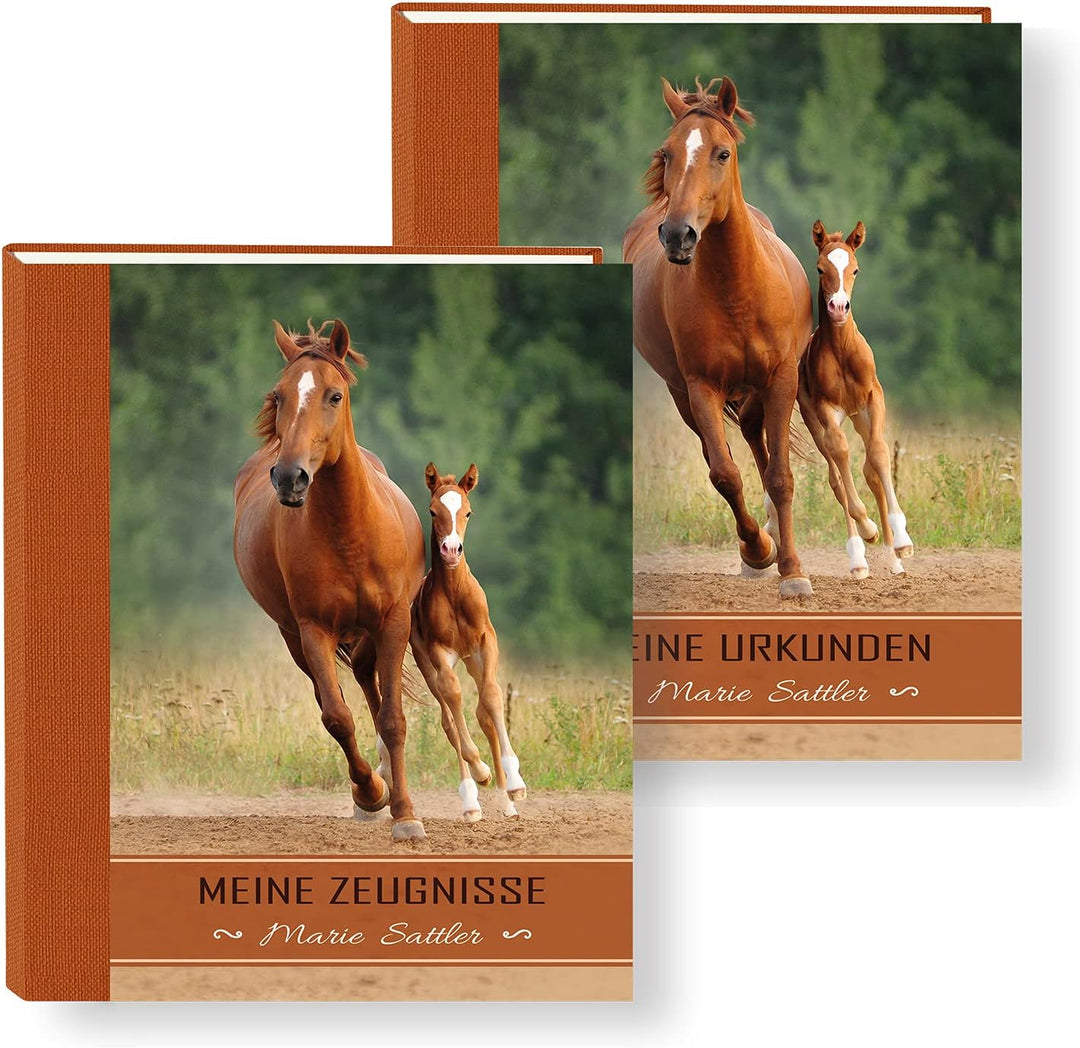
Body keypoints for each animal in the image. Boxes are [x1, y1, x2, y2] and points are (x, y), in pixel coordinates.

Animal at [233, 319, 427, 841]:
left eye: (334, 395)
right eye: (279, 395)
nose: (290, 478)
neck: (349, 531)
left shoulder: (393, 621)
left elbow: (393, 718)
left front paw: (405, 814)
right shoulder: (313, 629)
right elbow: (337, 717)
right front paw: (371, 795)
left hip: (370, 631)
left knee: (368, 682)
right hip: (294, 637)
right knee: (337, 695)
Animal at [410, 463, 527, 823]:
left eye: (468, 512)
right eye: (433, 511)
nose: (450, 550)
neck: (454, 594)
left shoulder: (486, 642)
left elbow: (491, 699)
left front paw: (515, 784)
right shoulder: (440, 653)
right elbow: (454, 699)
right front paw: (481, 772)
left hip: (472, 660)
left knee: (481, 713)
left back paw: (506, 801)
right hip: (427, 663)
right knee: (449, 719)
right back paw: (472, 801)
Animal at [624, 76, 815, 598]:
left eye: (722, 153)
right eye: (667, 153)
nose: (678, 235)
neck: (736, 289)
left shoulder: (781, 378)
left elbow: (781, 476)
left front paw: (793, 571)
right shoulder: (701, 387)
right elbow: (725, 475)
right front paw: (759, 552)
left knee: (755, 437)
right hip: (683, 395)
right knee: (728, 451)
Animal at [798, 221, 915, 578]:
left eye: (855, 270)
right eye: (820, 268)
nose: (838, 308)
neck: (841, 351)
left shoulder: (873, 398)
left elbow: (878, 455)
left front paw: (902, 541)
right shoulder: (826, 409)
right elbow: (840, 455)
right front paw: (868, 529)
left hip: (859, 416)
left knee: (869, 470)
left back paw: (893, 558)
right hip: (815, 421)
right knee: (837, 476)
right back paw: (859, 559)